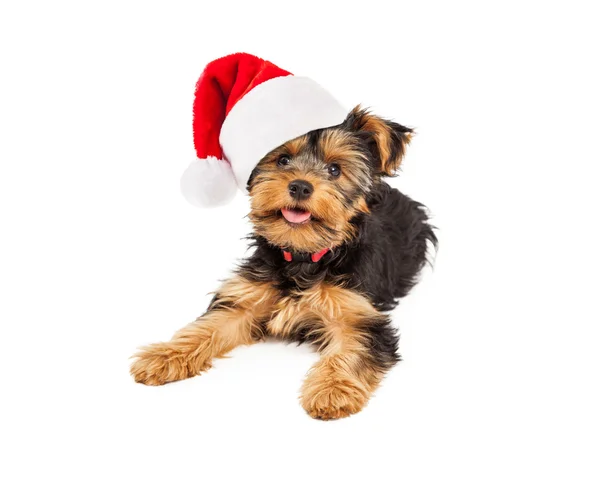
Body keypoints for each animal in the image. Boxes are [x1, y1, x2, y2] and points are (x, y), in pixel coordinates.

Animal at [130, 106, 436, 420]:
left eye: (335, 169)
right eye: (283, 160)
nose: (300, 186)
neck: (303, 254)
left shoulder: (357, 312)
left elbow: (353, 349)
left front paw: (332, 390)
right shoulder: (246, 296)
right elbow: (210, 325)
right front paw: (164, 355)